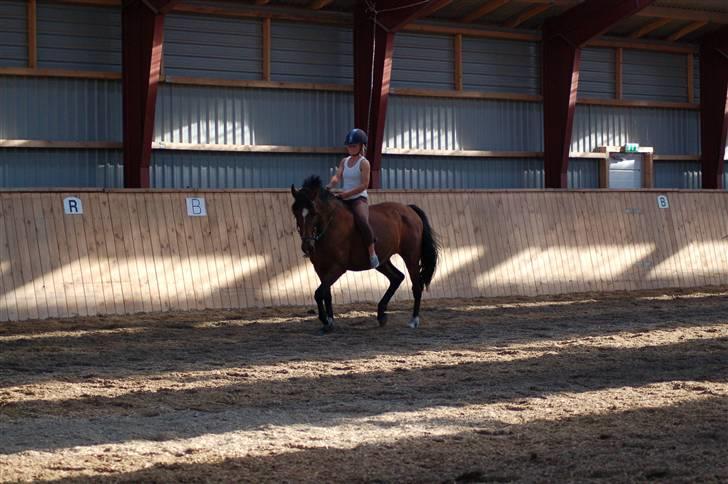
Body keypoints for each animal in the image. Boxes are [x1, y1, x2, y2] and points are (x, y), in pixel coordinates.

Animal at [290, 177, 438, 332]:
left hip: (411, 257)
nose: (307, 246)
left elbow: (319, 294)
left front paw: (325, 320)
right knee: (397, 277)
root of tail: (409, 209)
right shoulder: (320, 268)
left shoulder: (338, 268)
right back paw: (381, 315)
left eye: (314, 212)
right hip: (382, 261)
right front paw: (329, 321)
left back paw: (413, 320)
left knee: (416, 286)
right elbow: (326, 293)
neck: (328, 227)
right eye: (296, 213)